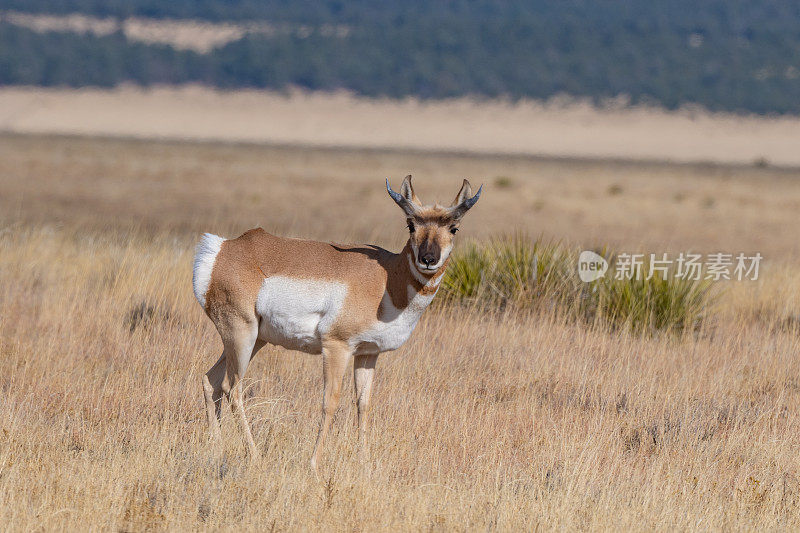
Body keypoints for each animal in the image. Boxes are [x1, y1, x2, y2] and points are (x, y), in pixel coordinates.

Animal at [194, 176, 482, 470]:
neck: (388, 278)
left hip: (253, 340)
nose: (428, 260)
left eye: (454, 228)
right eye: (411, 224)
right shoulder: (337, 347)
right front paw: (314, 463)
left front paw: (365, 462)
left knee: (210, 381)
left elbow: (363, 403)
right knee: (232, 388)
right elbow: (330, 402)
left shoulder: (368, 354)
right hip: (242, 335)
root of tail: (224, 249)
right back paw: (254, 456)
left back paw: (216, 449)